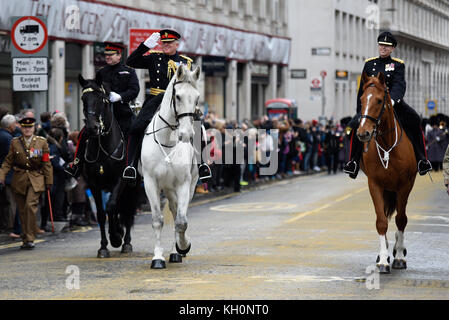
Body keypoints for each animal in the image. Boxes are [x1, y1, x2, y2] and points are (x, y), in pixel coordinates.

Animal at [78, 74, 139, 258]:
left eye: (102, 99)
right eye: (83, 99)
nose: (93, 127)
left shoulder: (120, 179)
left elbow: (111, 206)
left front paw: (116, 236)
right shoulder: (94, 184)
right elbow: (101, 213)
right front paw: (104, 246)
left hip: (133, 185)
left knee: (128, 211)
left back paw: (126, 242)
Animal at [140, 63, 200, 268]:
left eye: (197, 98)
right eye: (178, 96)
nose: (187, 135)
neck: (167, 140)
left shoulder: (183, 184)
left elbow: (181, 221)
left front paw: (183, 246)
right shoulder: (150, 182)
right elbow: (157, 220)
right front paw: (157, 258)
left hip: (182, 187)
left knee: (176, 215)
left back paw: (176, 252)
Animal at [356, 71, 416, 274]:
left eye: (379, 100)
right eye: (361, 99)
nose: (363, 133)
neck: (388, 146)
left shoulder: (405, 185)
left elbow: (401, 219)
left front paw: (399, 257)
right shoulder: (375, 184)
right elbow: (381, 221)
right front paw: (383, 259)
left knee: (399, 217)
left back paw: (398, 248)